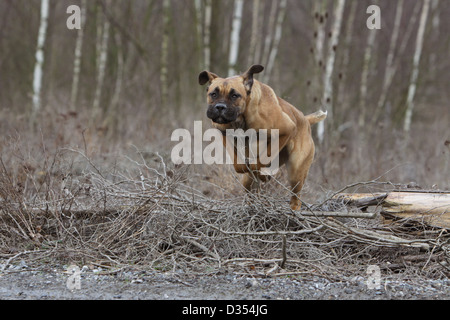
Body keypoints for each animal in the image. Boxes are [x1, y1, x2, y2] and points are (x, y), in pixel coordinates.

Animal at [199, 65, 326, 210]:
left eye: (234, 95)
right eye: (213, 94)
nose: (220, 107)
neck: (241, 118)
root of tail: (305, 120)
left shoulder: (286, 130)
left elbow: (262, 158)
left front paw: (261, 171)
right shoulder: (224, 133)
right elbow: (239, 164)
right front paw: (248, 167)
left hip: (296, 172)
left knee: (295, 197)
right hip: (248, 182)